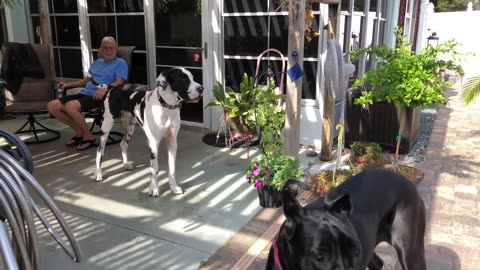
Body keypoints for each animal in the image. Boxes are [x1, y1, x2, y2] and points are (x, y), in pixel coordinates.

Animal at [94, 67, 203, 196]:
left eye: (192, 77)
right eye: (183, 79)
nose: (201, 88)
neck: (166, 107)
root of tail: (113, 87)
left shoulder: (172, 141)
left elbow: (172, 168)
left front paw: (174, 187)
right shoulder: (154, 143)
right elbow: (154, 168)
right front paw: (154, 188)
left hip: (130, 126)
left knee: (123, 143)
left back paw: (126, 164)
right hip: (106, 127)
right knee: (99, 150)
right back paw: (98, 173)